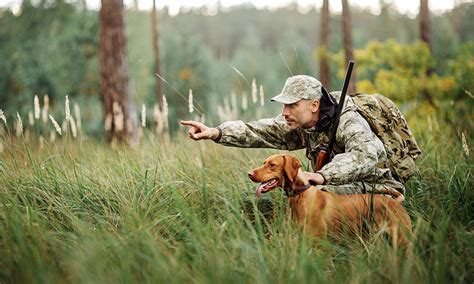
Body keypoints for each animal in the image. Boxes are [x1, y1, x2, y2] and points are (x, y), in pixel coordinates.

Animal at [248, 154, 412, 245]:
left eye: (272, 165)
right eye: (264, 163)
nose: (249, 174)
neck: (301, 195)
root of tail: (395, 202)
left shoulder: (318, 242)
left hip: (402, 240)